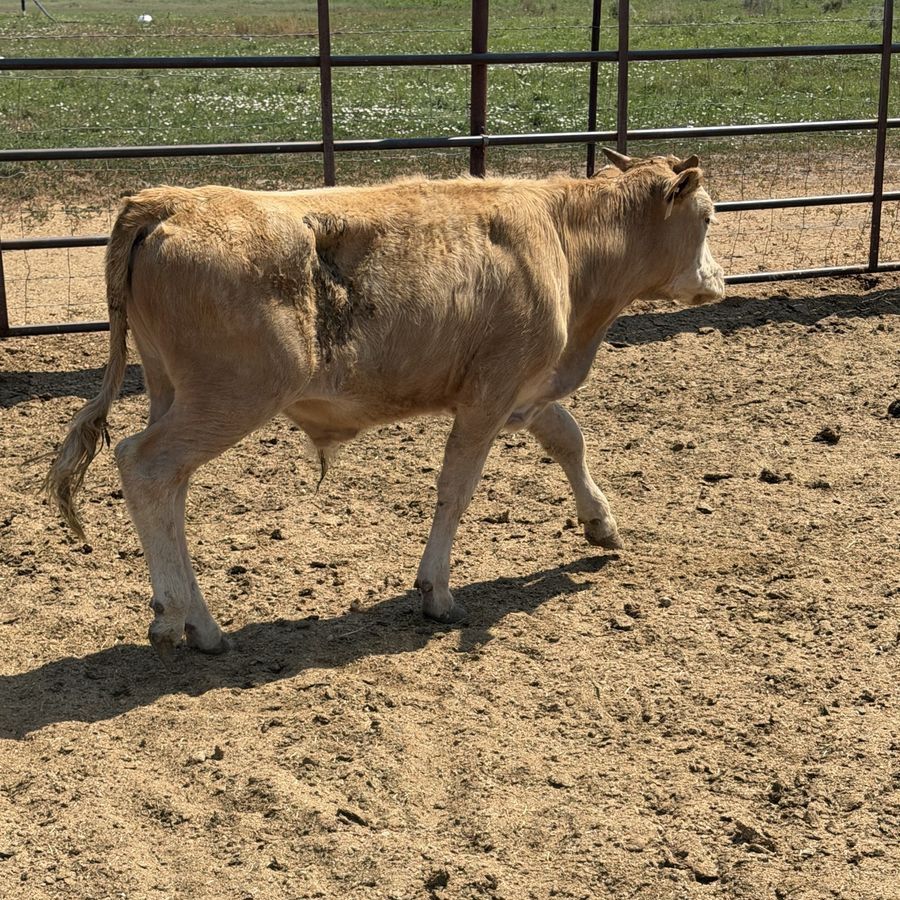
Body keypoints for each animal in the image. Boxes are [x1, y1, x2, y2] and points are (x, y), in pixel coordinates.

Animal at [45, 149, 725, 661]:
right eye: (709, 217)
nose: (719, 281)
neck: (560, 238)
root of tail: (167, 199)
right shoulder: (489, 394)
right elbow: (456, 489)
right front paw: (437, 592)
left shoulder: (526, 393)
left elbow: (568, 438)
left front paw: (600, 523)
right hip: (229, 398)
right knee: (145, 465)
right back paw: (183, 618)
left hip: (172, 392)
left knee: (170, 490)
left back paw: (193, 618)